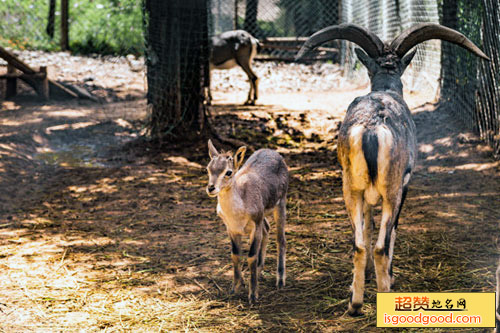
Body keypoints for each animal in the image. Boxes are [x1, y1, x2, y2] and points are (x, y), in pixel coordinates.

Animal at [296, 22, 488, 314]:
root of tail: (372, 131)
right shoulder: (403, 186)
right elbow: (392, 232)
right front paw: (390, 276)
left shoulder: (363, 195)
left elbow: (367, 228)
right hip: (392, 190)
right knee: (380, 246)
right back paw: (384, 293)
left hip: (350, 188)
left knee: (359, 245)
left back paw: (355, 304)